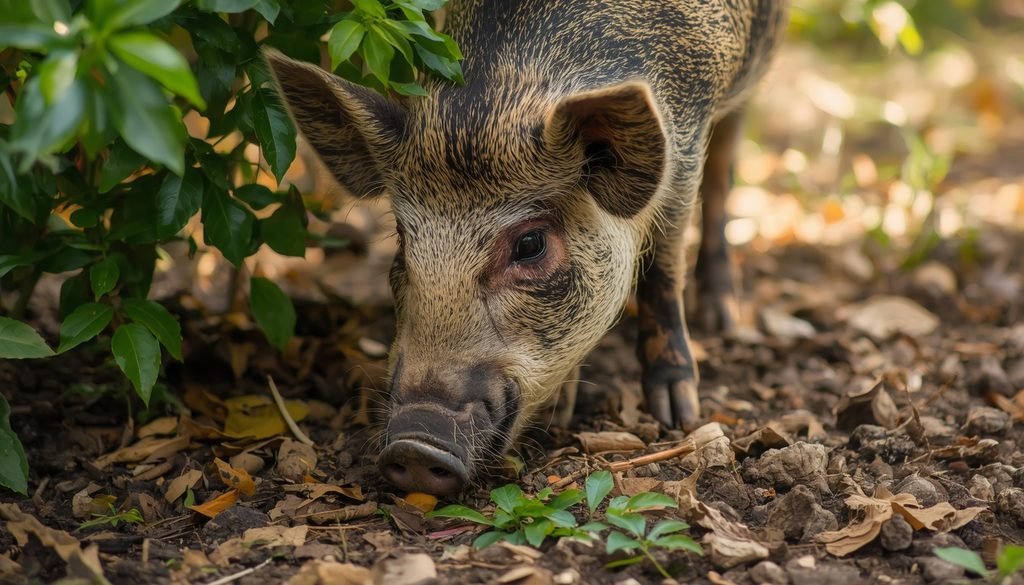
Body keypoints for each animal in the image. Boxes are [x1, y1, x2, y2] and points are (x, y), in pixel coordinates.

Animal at [266, 0, 787, 496]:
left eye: (531, 244)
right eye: (402, 238)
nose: (415, 444)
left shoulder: (685, 149)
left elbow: (663, 268)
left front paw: (676, 414)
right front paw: (565, 409)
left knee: (722, 176)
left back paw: (720, 320)